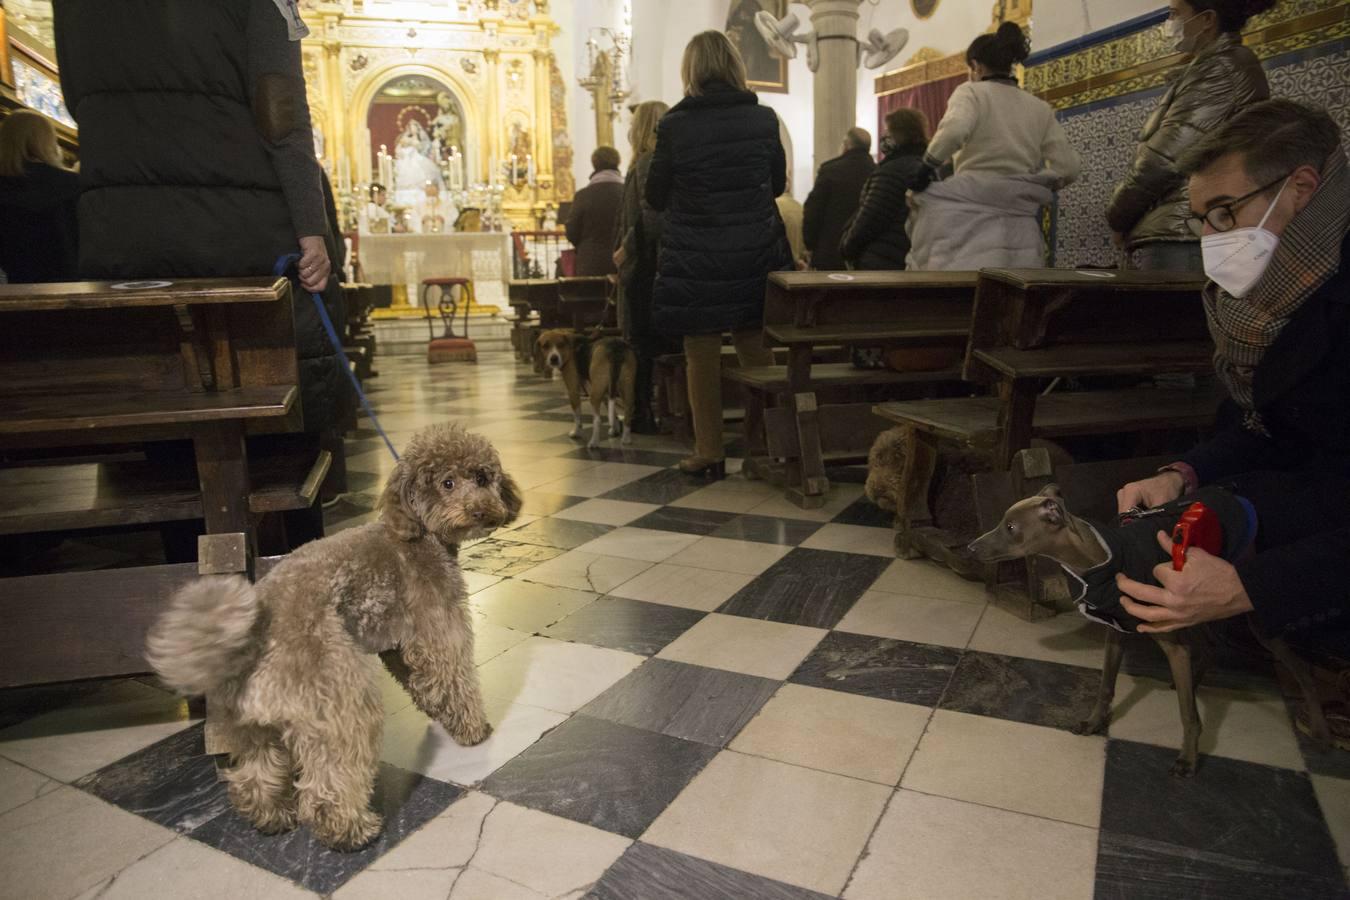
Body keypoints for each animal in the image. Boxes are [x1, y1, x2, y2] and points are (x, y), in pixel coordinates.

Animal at [972, 485, 1328, 777]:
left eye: (1011, 527)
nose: (970, 548)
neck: (1099, 561)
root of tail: (1236, 498)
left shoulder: (1171, 641)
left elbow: (1188, 713)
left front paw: (1188, 758)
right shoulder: (1116, 633)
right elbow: (1106, 687)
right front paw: (1094, 722)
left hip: (1244, 615)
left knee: (1301, 670)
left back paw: (1319, 725)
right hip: (1193, 604)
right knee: (1208, 647)